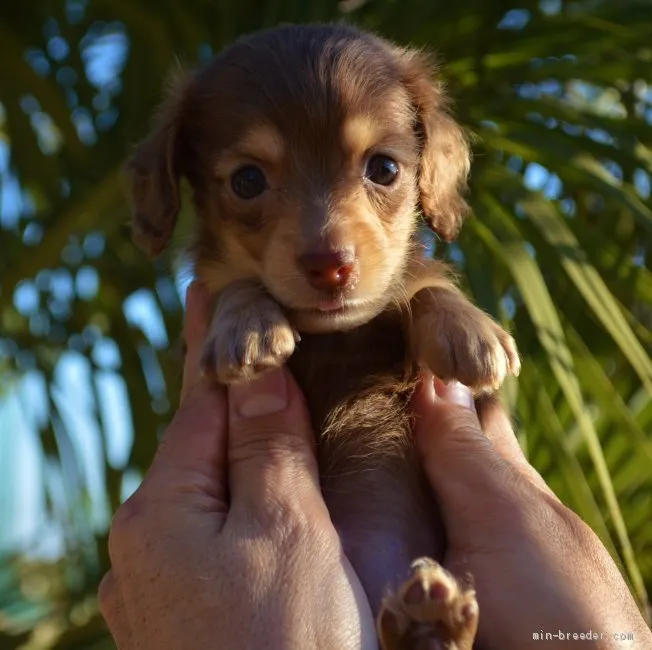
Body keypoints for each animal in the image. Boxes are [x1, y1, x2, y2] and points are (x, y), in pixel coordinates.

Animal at [127, 22, 520, 644]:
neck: (336, 337)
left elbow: (423, 286)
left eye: (384, 169)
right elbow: (237, 285)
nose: (330, 265)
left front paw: (470, 332)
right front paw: (249, 325)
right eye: (247, 180)